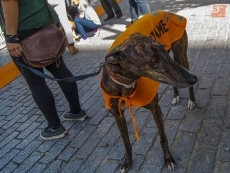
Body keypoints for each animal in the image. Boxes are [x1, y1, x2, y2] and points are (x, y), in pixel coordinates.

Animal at [100, 32, 198, 172]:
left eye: (163, 49)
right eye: (153, 59)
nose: (194, 79)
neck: (126, 85)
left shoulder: (155, 108)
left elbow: (163, 139)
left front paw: (168, 159)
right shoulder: (118, 116)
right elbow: (126, 142)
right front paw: (127, 162)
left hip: (180, 55)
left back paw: (191, 101)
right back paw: (176, 96)